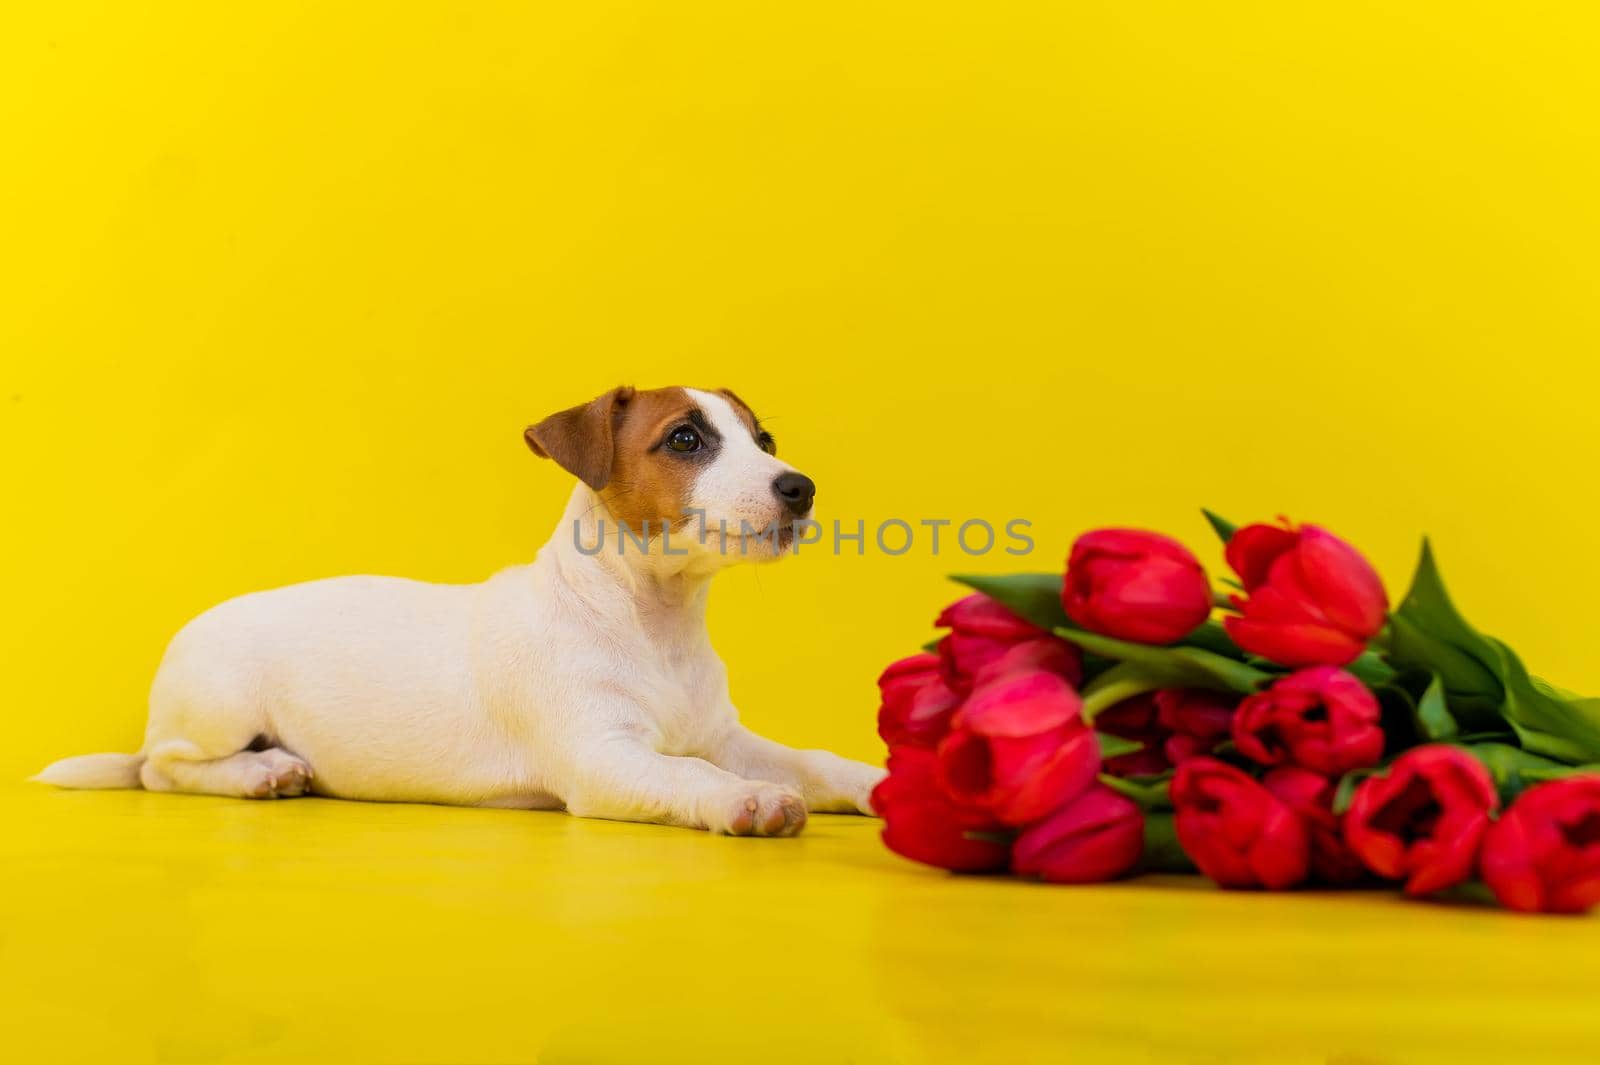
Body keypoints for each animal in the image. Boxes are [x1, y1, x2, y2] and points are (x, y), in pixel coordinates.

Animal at [34, 385, 889, 831]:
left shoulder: (724, 734)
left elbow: (811, 760)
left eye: (763, 438)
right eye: (684, 439)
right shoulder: (602, 757)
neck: (653, 623)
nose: (801, 487)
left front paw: (878, 779)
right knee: (163, 769)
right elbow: (688, 774)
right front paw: (747, 798)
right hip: (219, 703)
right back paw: (259, 773)